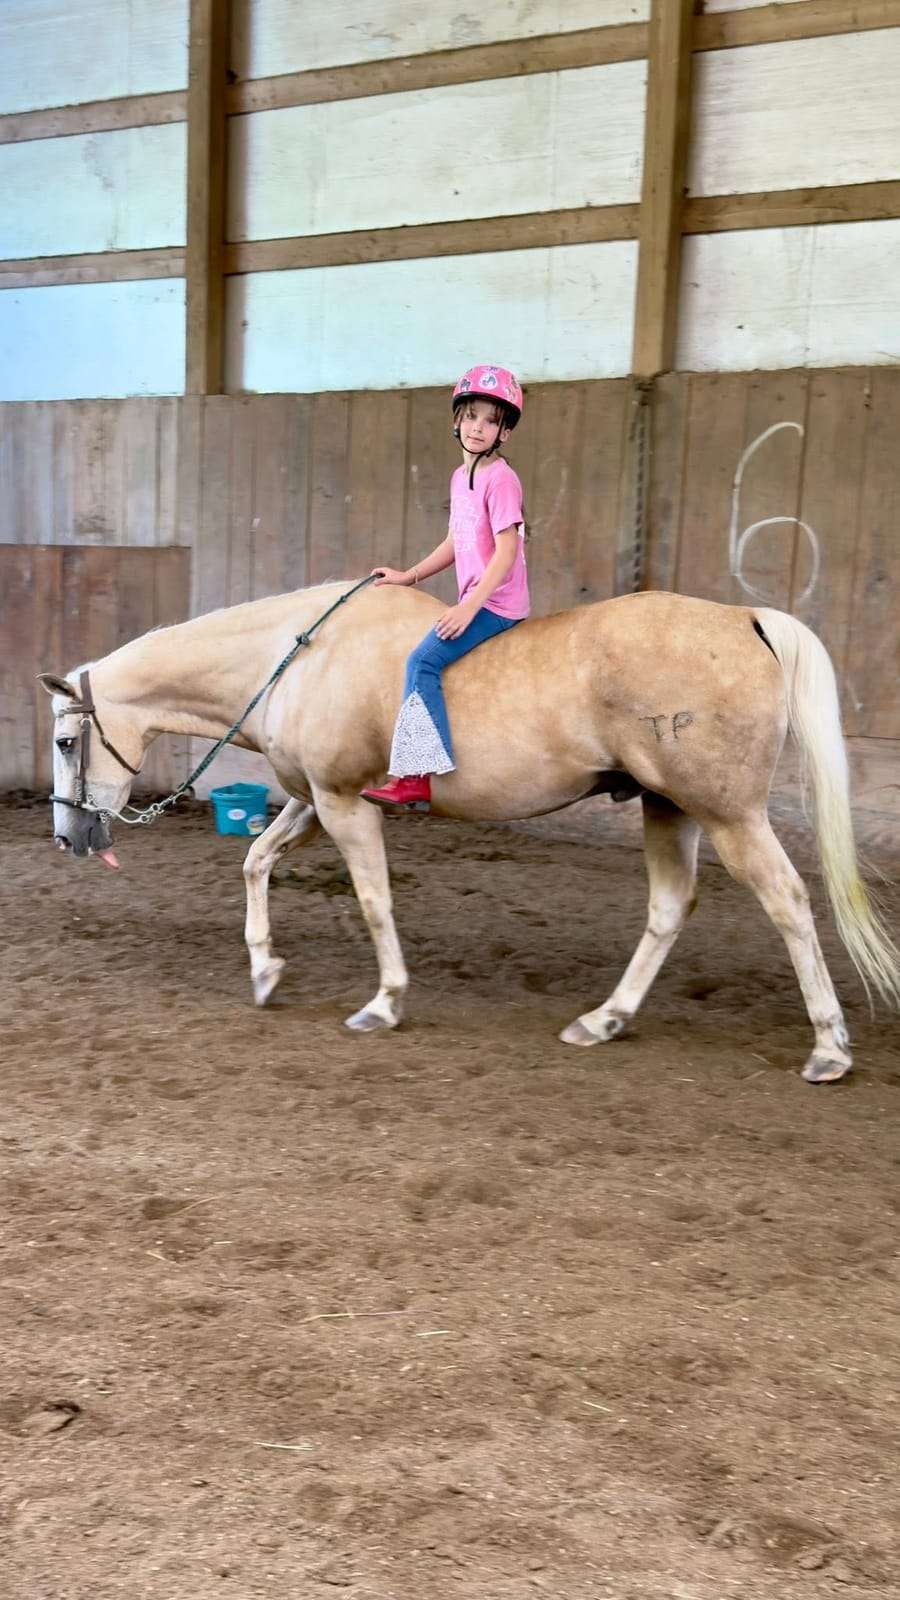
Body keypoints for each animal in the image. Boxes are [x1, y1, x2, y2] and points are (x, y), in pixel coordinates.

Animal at [39, 581, 900, 1084]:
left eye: (64, 741)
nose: (68, 838)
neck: (296, 657)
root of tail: (744, 618)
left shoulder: (345, 805)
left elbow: (374, 901)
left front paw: (384, 1002)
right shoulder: (314, 800)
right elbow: (254, 861)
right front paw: (264, 970)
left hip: (727, 814)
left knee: (788, 903)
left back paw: (829, 1047)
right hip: (667, 807)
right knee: (668, 908)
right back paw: (604, 1019)